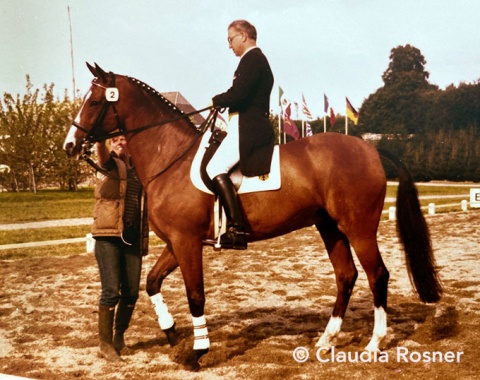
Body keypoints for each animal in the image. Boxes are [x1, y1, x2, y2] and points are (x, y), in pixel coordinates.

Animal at [63, 63, 442, 372]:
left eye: (94, 102)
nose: (69, 145)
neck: (171, 157)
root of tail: (370, 149)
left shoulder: (187, 243)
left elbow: (195, 295)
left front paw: (198, 353)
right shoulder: (176, 242)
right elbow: (152, 282)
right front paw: (171, 333)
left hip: (358, 227)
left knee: (377, 274)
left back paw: (374, 343)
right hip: (329, 226)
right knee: (346, 276)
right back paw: (325, 341)